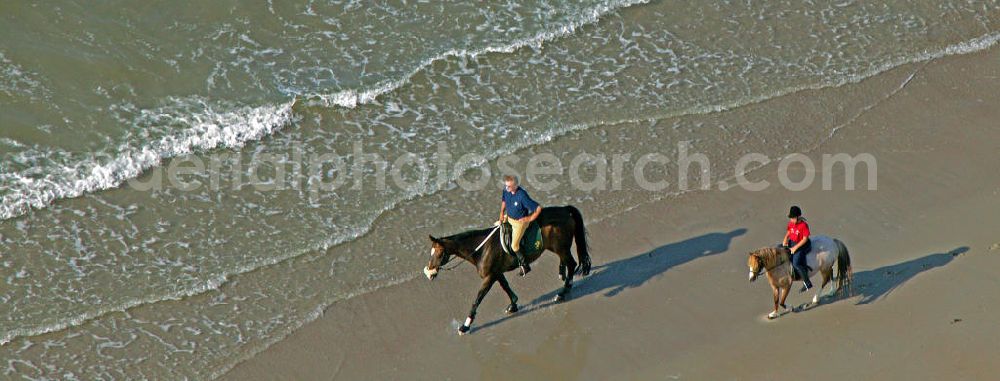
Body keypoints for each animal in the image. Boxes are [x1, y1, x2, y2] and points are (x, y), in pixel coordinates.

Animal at [426, 205, 588, 332]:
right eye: (431, 252)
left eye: (439, 254)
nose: (429, 272)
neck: (481, 248)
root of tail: (565, 209)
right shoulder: (497, 273)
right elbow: (506, 287)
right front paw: (513, 305)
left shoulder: (489, 277)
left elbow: (478, 299)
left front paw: (465, 326)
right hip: (559, 248)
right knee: (566, 262)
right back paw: (562, 275)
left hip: (560, 248)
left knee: (572, 264)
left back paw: (563, 292)